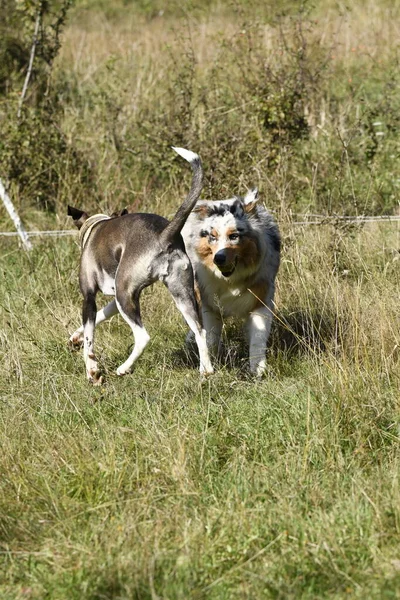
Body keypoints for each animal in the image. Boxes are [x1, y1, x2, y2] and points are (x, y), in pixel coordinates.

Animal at [68, 146, 212, 384]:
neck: (95, 226)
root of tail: (164, 235)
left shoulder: (89, 297)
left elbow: (90, 339)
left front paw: (92, 370)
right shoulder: (114, 302)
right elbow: (100, 317)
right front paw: (75, 338)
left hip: (126, 296)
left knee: (143, 337)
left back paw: (123, 368)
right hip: (181, 295)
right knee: (201, 331)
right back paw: (206, 371)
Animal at [182, 189, 282, 376]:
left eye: (234, 236)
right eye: (212, 237)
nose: (219, 258)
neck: (230, 280)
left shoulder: (262, 299)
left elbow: (258, 338)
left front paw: (258, 368)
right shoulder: (210, 305)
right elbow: (211, 338)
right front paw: (209, 365)